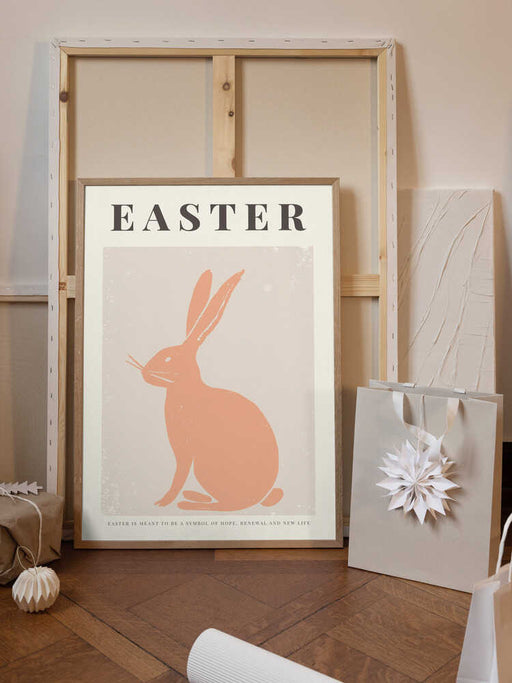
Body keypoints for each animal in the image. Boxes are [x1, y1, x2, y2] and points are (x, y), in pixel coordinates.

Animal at [127, 269, 284, 511]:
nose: (145, 372)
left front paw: (163, 502)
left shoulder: (184, 451)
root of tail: (260, 498)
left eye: (169, 358)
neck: (187, 391)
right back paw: (195, 496)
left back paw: (190, 503)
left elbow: (178, 476)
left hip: (205, 467)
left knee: (227, 505)